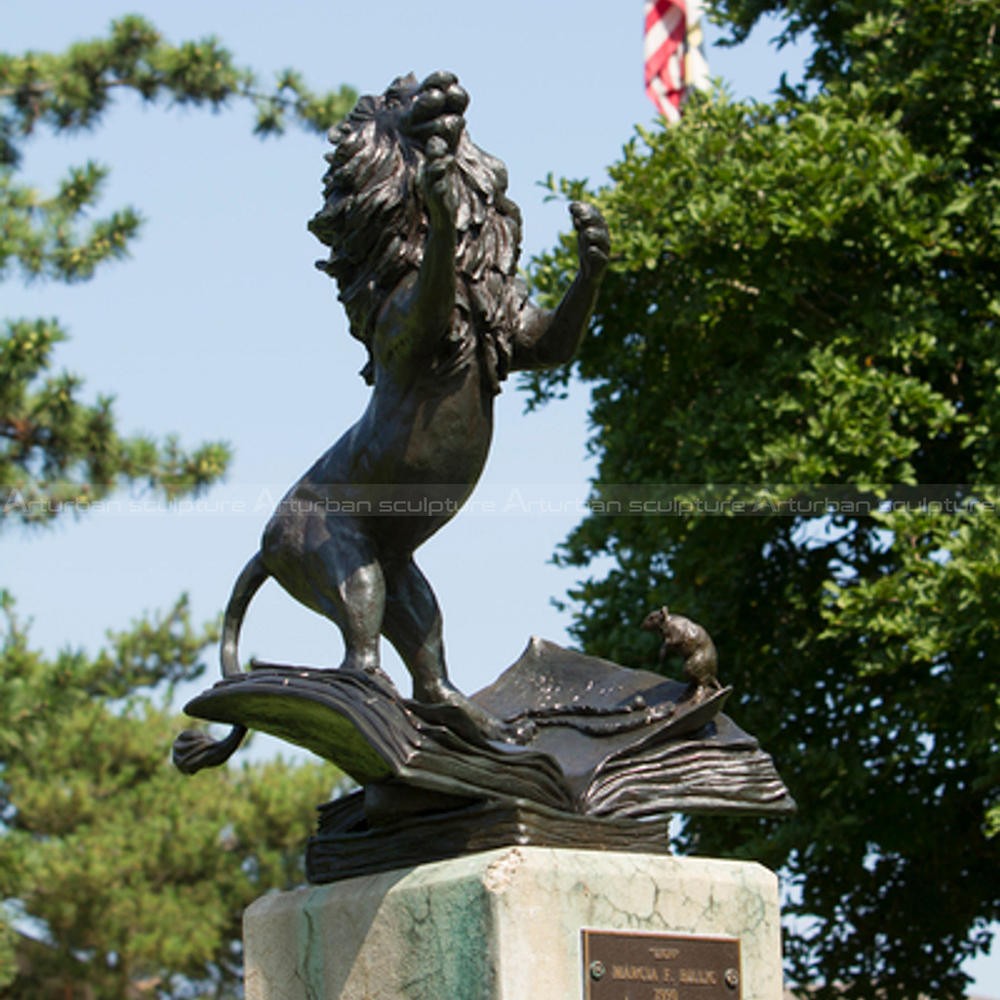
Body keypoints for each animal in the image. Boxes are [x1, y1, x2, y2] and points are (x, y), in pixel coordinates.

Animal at [175, 72, 604, 772]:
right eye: (400, 98)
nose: (445, 82)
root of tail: (263, 545)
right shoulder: (410, 320)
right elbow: (433, 280)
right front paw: (439, 189)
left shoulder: (521, 333)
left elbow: (552, 337)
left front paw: (594, 237)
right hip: (334, 556)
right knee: (357, 646)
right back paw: (372, 697)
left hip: (407, 579)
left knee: (429, 668)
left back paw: (481, 725)